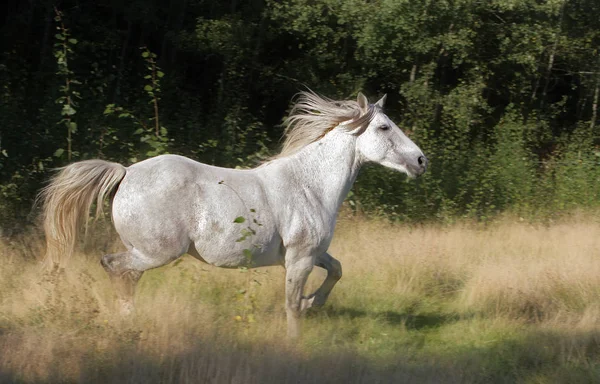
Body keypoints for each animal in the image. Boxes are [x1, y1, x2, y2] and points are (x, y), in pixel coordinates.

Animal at [39, 91, 426, 338]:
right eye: (384, 127)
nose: (421, 161)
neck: (310, 184)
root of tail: (126, 172)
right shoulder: (300, 258)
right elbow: (291, 304)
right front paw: (296, 338)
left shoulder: (312, 253)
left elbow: (336, 270)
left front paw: (313, 304)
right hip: (157, 252)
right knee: (115, 267)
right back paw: (128, 322)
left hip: (148, 253)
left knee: (124, 274)